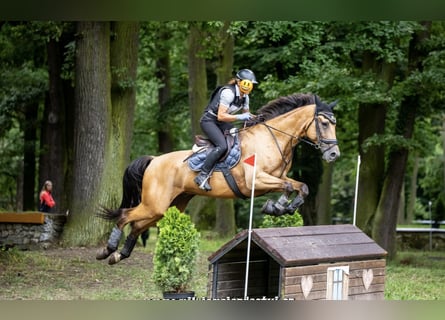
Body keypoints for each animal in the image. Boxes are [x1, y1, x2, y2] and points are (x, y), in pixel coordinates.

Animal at [98, 93, 340, 264]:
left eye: (334, 123)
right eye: (324, 123)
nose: (334, 155)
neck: (273, 138)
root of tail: (154, 160)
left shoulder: (275, 178)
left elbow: (301, 186)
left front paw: (283, 207)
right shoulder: (256, 181)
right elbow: (289, 186)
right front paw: (277, 207)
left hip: (168, 207)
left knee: (137, 225)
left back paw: (118, 255)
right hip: (154, 203)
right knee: (125, 216)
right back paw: (107, 250)